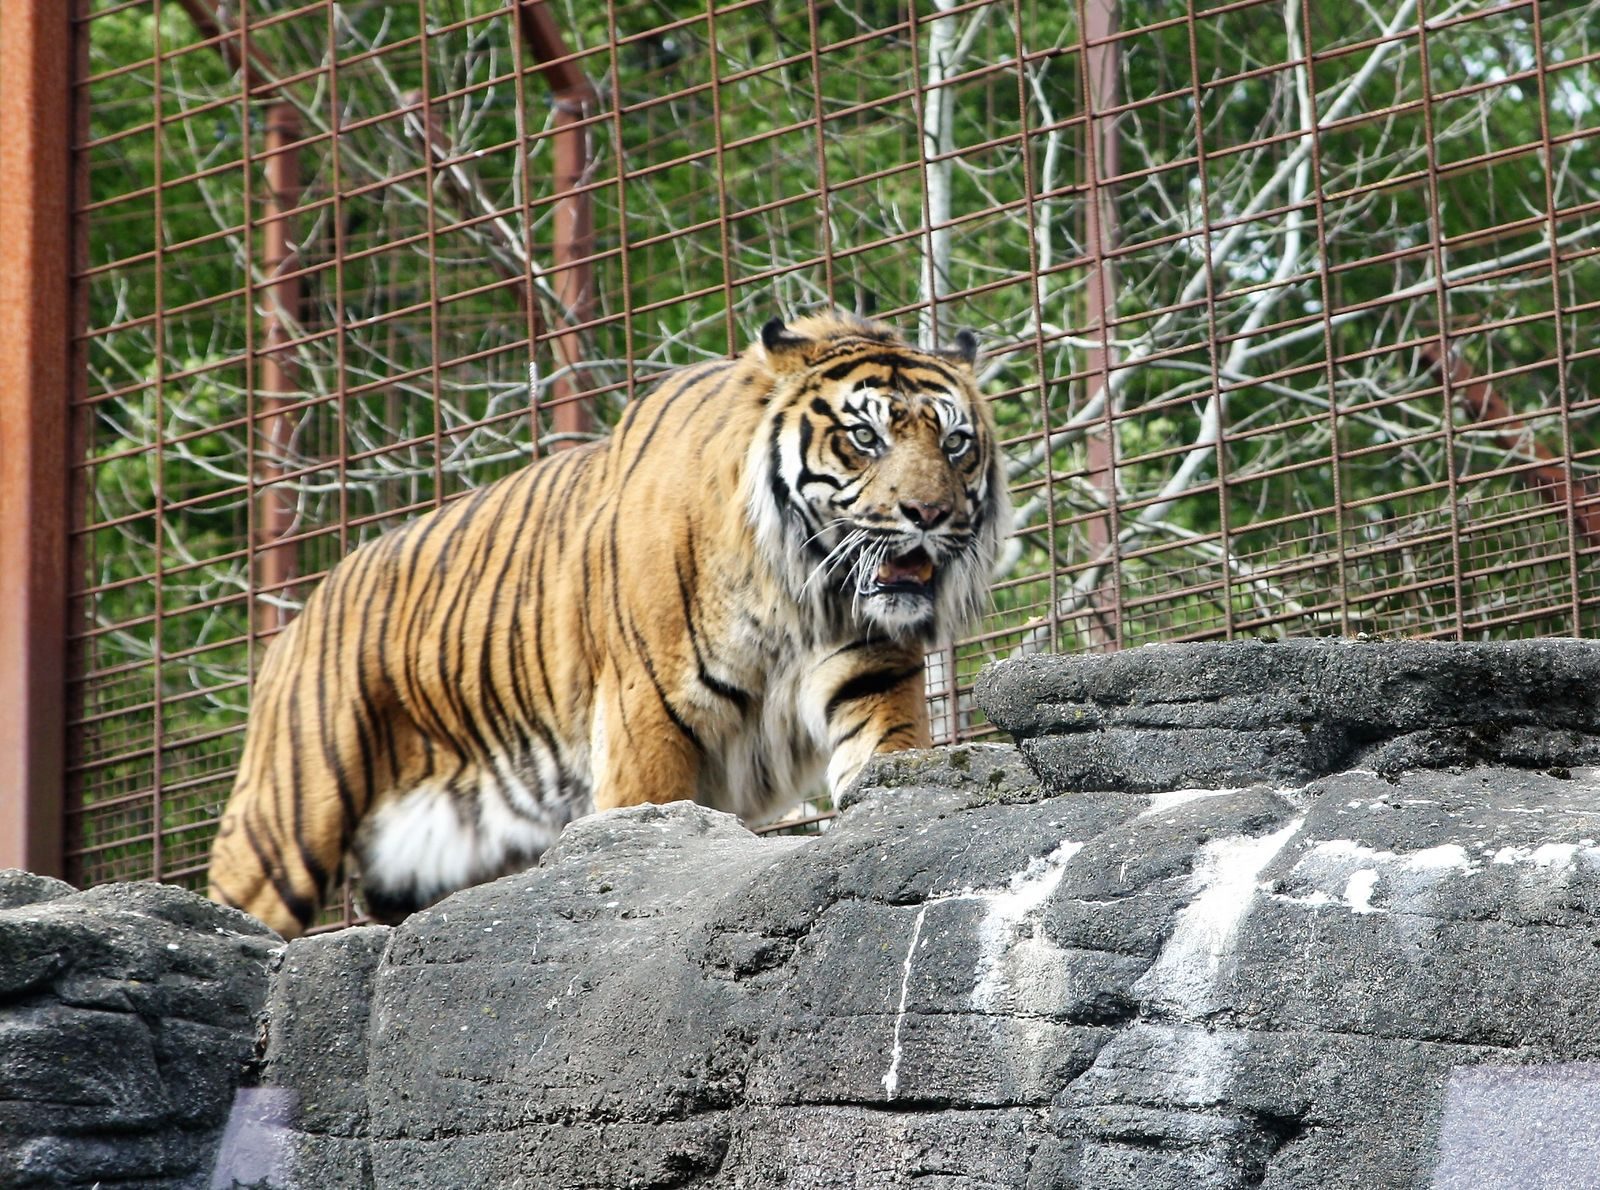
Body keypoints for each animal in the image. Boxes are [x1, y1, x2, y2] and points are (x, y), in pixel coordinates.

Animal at [207, 312, 1010, 938]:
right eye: (865, 439)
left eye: (956, 443)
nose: (930, 514)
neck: (803, 590)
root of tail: (307, 607)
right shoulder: (647, 711)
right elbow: (646, 822)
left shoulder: (870, 673)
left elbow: (889, 764)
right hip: (288, 818)